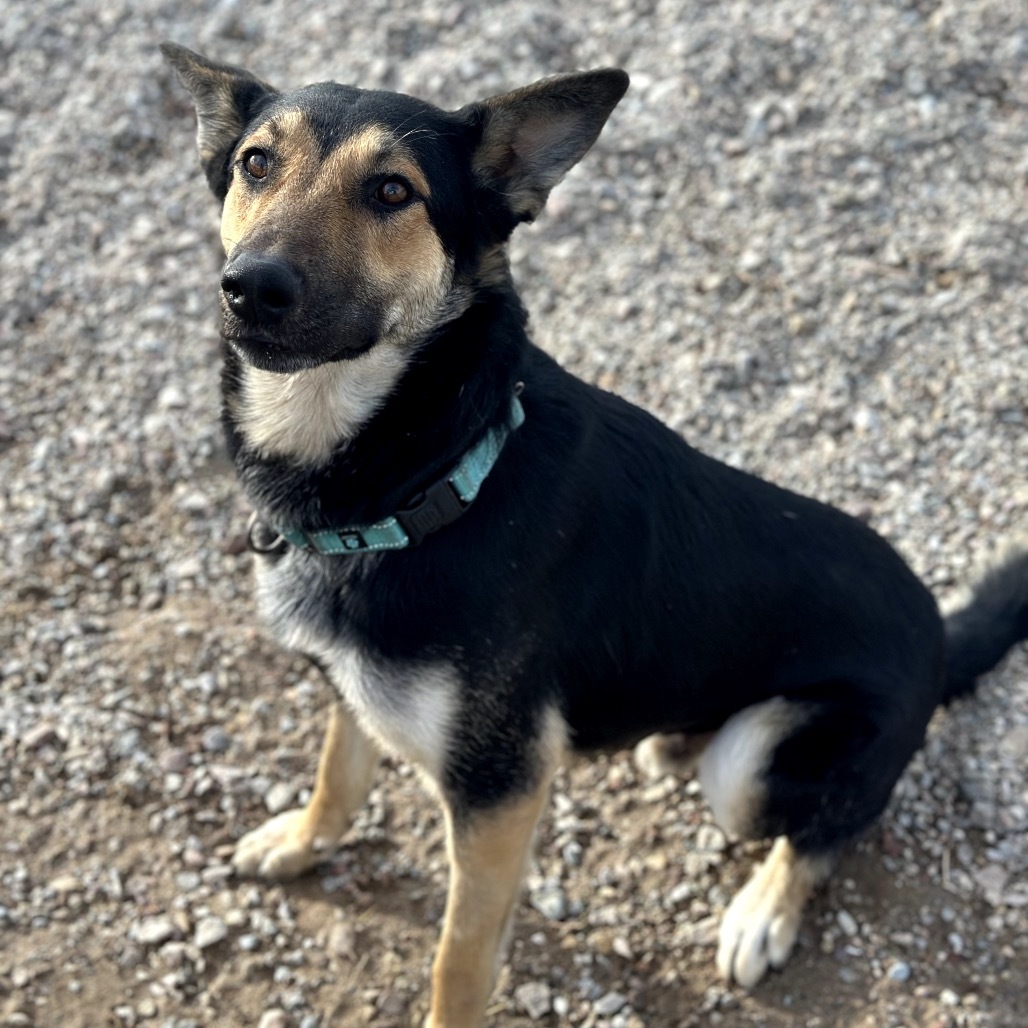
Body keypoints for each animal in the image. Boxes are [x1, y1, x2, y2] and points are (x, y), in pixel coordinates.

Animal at [162, 46, 1028, 1028]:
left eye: (392, 191)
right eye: (255, 163)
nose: (252, 286)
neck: (434, 467)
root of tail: (940, 632)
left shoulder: (499, 792)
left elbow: (459, 959)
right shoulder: (351, 682)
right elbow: (338, 771)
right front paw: (305, 839)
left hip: (763, 763)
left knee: (825, 830)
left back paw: (763, 910)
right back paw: (669, 742)